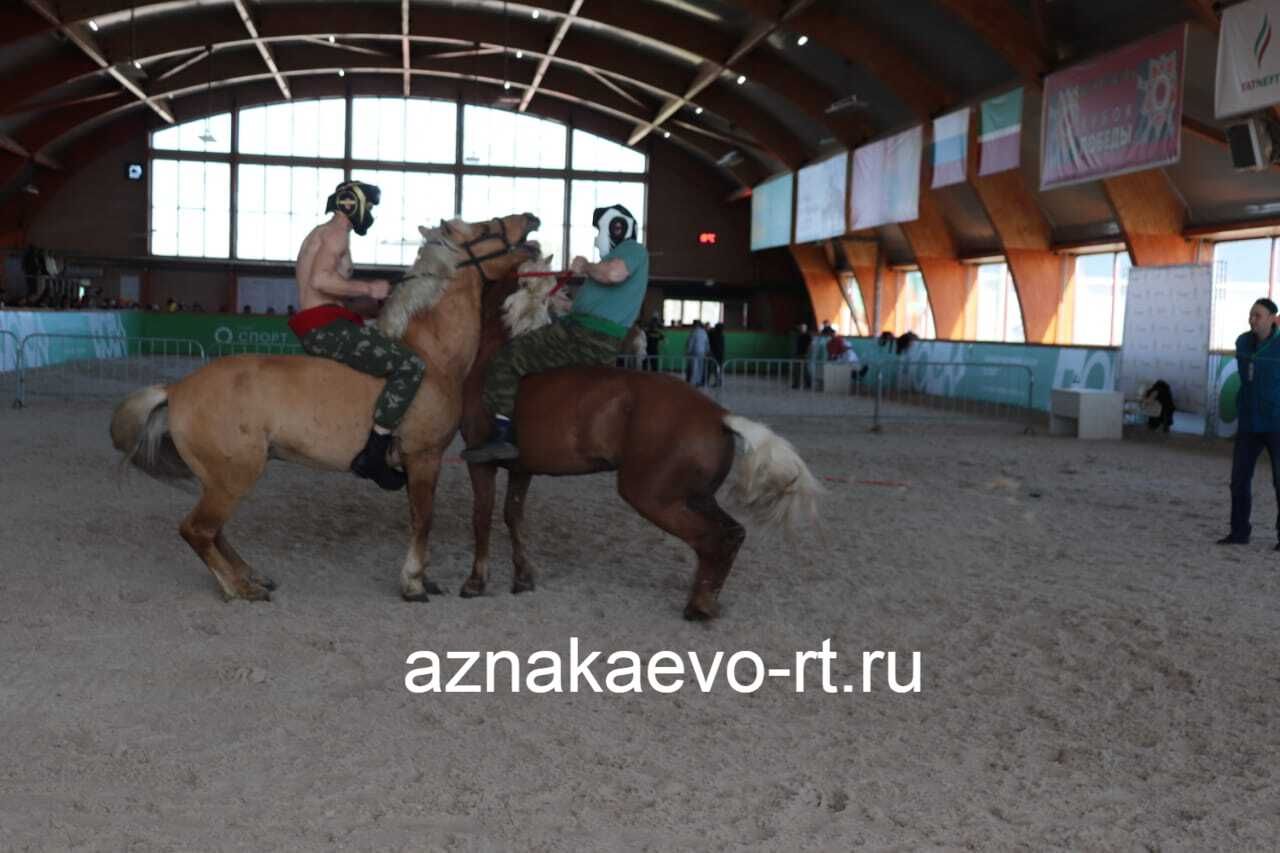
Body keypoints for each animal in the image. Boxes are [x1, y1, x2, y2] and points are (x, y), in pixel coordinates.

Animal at [111, 211, 545, 596]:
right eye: (486, 228)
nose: (531, 219)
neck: (434, 357)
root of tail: (177, 388)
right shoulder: (425, 456)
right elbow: (424, 520)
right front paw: (413, 583)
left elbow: (418, 517)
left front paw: (424, 578)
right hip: (233, 477)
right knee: (198, 530)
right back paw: (239, 588)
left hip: (223, 479)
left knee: (214, 532)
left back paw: (251, 576)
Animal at [460, 258, 819, 617]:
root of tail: (719, 414)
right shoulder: (522, 468)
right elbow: (513, 518)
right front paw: (522, 578)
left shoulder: (481, 464)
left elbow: (482, 516)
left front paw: (475, 583)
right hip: (694, 497)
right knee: (732, 533)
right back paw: (707, 601)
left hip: (653, 497)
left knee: (712, 540)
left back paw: (698, 606)